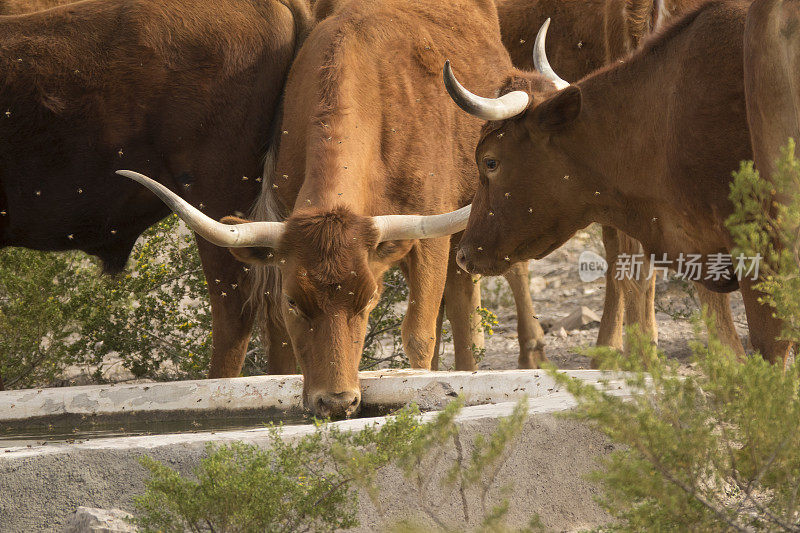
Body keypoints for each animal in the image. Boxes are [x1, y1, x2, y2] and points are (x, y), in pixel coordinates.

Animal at [120, 0, 556, 418]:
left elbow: (420, 336)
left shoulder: (430, 238)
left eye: (368, 300)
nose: (337, 401)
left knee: (465, 314)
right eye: (294, 301)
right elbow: (281, 348)